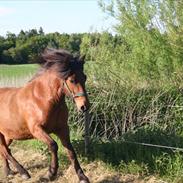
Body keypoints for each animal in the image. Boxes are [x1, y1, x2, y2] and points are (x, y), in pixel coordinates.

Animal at [0, 48, 90, 182]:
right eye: (72, 80)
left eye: (85, 77)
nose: (84, 106)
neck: (43, 99)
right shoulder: (37, 130)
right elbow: (53, 146)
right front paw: (50, 173)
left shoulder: (62, 129)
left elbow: (71, 151)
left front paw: (82, 177)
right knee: (5, 151)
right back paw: (23, 172)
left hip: (9, 134)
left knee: (5, 150)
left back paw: (8, 171)